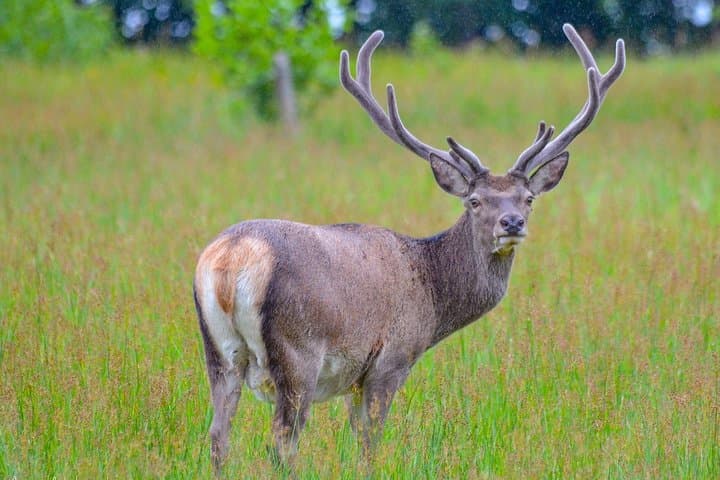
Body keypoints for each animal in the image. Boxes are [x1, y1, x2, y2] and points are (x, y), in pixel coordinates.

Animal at [193, 23, 626, 472]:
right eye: (474, 201)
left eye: (528, 198)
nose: (512, 223)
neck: (432, 299)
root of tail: (231, 260)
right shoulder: (391, 358)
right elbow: (370, 442)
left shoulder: (356, 378)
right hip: (298, 354)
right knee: (282, 441)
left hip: (218, 352)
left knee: (218, 436)